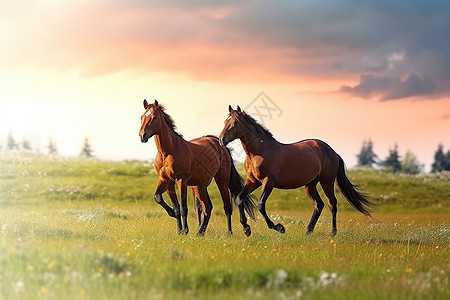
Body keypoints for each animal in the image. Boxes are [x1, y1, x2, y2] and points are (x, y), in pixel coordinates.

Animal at [139, 99, 255, 236]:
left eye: (154, 117)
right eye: (142, 117)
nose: (142, 135)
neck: (168, 152)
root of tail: (219, 144)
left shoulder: (181, 181)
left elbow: (183, 208)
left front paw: (185, 231)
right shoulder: (166, 181)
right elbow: (162, 200)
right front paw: (178, 227)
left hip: (222, 180)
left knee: (227, 206)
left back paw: (232, 232)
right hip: (201, 186)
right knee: (207, 207)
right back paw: (200, 232)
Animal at [218, 105, 372, 237]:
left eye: (235, 122)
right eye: (225, 121)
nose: (221, 139)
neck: (259, 151)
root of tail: (332, 152)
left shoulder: (268, 181)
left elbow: (261, 204)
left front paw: (279, 227)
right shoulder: (253, 181)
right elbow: (239, 198)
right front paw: (246, 228)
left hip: (326, 181)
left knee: (331, 203)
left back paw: (332, 233)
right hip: (310, 185)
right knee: (319, 204)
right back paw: (308, 231)